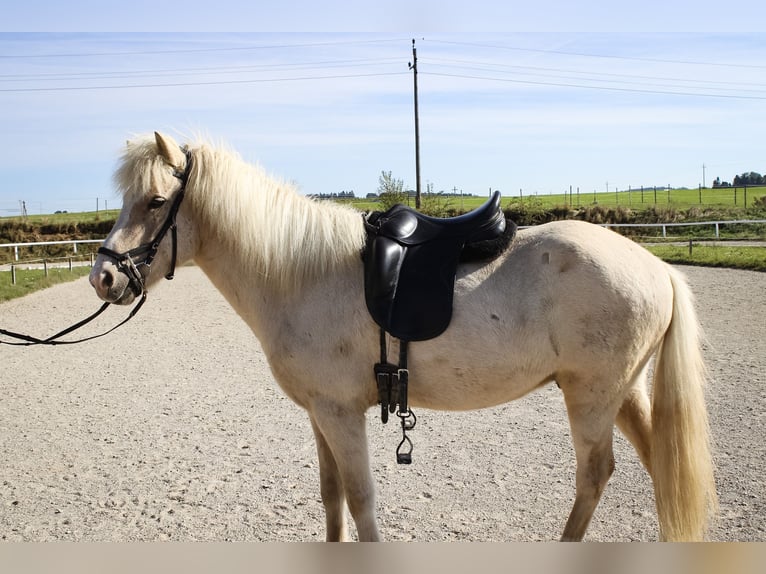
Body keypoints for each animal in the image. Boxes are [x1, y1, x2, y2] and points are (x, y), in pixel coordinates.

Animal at [90, 132, 720, 544]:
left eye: (154, 201)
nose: (104, 277)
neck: (303, 274)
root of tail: (655, 267)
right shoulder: (320, 413)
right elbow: (332, 497)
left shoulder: (341, 413)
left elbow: (361, 500)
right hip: (624, 393)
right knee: (659, 465)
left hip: (591, 396)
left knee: (595, 475)